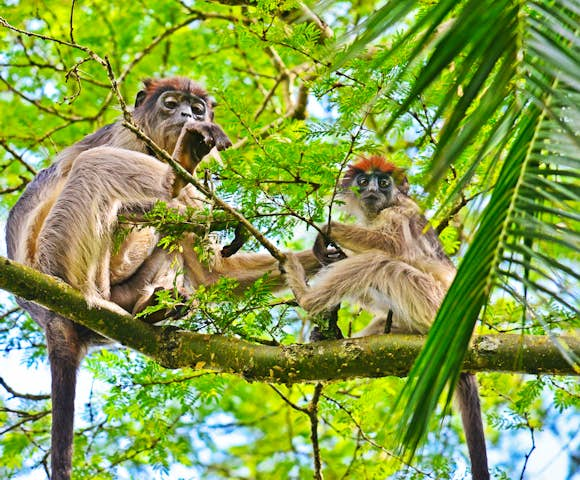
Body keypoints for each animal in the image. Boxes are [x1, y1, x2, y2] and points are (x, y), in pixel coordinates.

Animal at [284, 156, 490, 478]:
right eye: (363, 181)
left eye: (383, 182)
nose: (371, 190)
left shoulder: (401, 211)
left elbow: (393, 246)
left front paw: (329, 229)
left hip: (430, 301)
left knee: (377, 260)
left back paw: (306, 297)